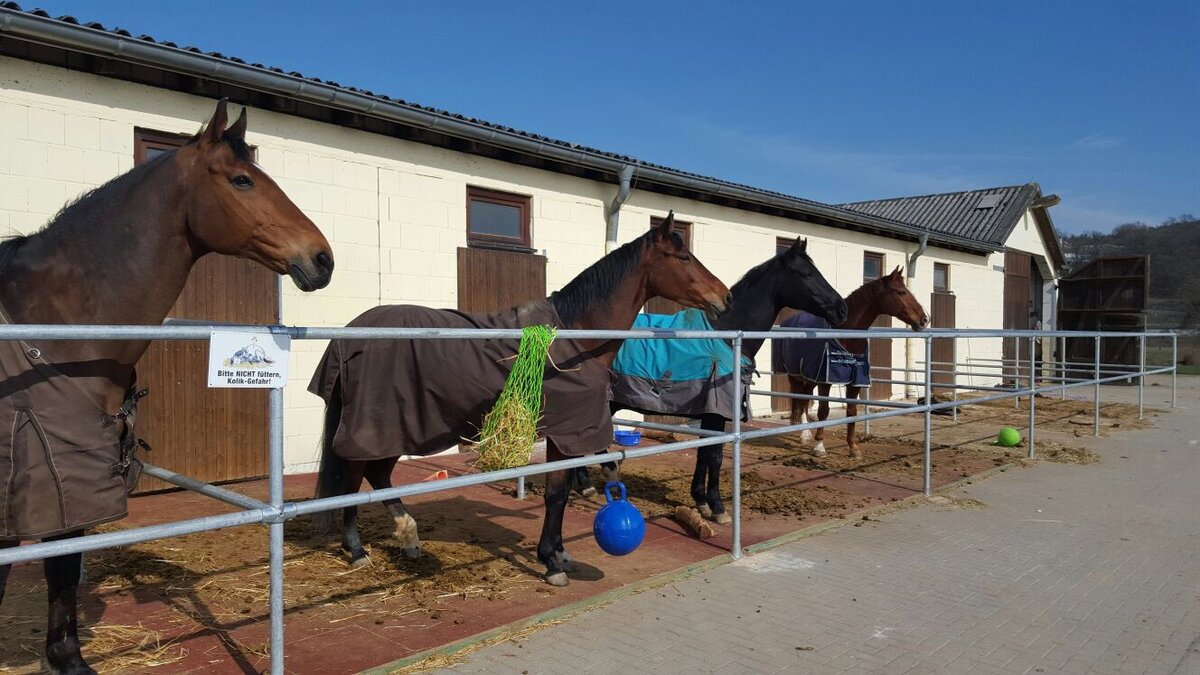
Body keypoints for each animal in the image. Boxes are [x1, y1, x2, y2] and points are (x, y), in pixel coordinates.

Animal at [0, 99, 333, 672]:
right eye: (242, 179)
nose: (322, 258)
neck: (47, 331)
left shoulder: (69, 478)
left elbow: (62, 564)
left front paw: (66, 658)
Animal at [307, 213, 729, 583]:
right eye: (684, 257)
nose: (724, 298)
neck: (575, 338)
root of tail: (352, 333)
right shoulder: (564, 434)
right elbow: (556, 495)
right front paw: (551, 563)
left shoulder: (568, 436)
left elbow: (561, 493)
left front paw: (559, 553)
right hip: (375, 427)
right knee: (353, 480)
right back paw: (358, 551)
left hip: (397, 427)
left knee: (377, 475)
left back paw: (409, 539)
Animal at [578, 236, 844, 521]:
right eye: (807, 274)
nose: (841, 308)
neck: (725, 334)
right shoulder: (716, 411)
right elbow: (714, 455)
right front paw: (717, 507)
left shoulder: (711, 413)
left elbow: (704, 453)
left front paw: (702, 501)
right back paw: (592, 482)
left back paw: (587, 484)